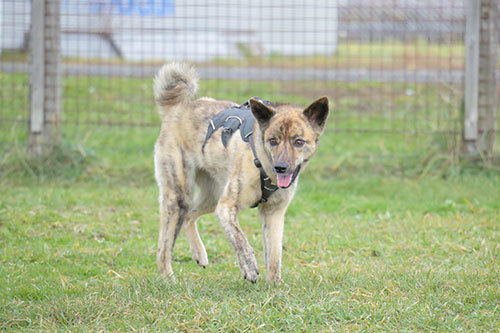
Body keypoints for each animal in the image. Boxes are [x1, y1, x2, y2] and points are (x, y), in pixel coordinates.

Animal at [154, 61, 330, 282]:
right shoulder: (226, 208)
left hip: (212, 197)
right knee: (164, 246)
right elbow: (239, 238)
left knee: (189, 216)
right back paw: (167, 278)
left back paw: (199, 254)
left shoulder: (274, 214)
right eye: (272, 141)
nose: (281, 167)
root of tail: (176, 108)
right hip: (180, 197)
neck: (263, 165)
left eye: (298, 142)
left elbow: (274, 257)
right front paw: (249, 266)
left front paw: (275, 285)